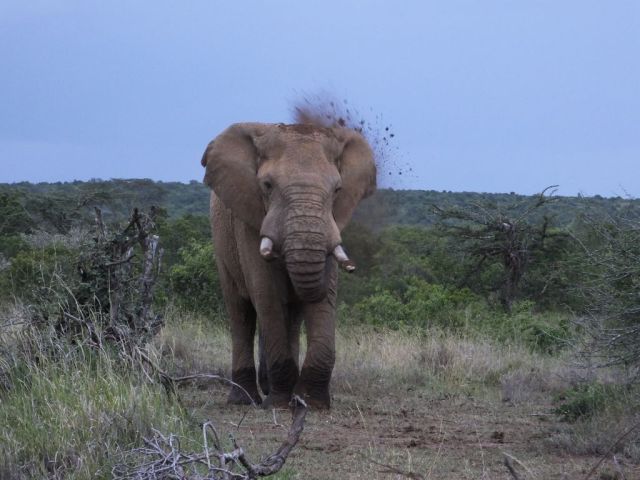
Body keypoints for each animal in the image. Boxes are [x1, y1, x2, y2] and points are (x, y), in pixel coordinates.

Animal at [201, 122, 376, 409]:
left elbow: (318, 298)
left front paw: (312, 403)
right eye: (267, 185)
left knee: (291, 317)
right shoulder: (249, 219)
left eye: (337, 190)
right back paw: (245, 399)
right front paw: (280, 403)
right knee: (241, 312)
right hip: (221, 243)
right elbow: (267, 294)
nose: (352, 268)